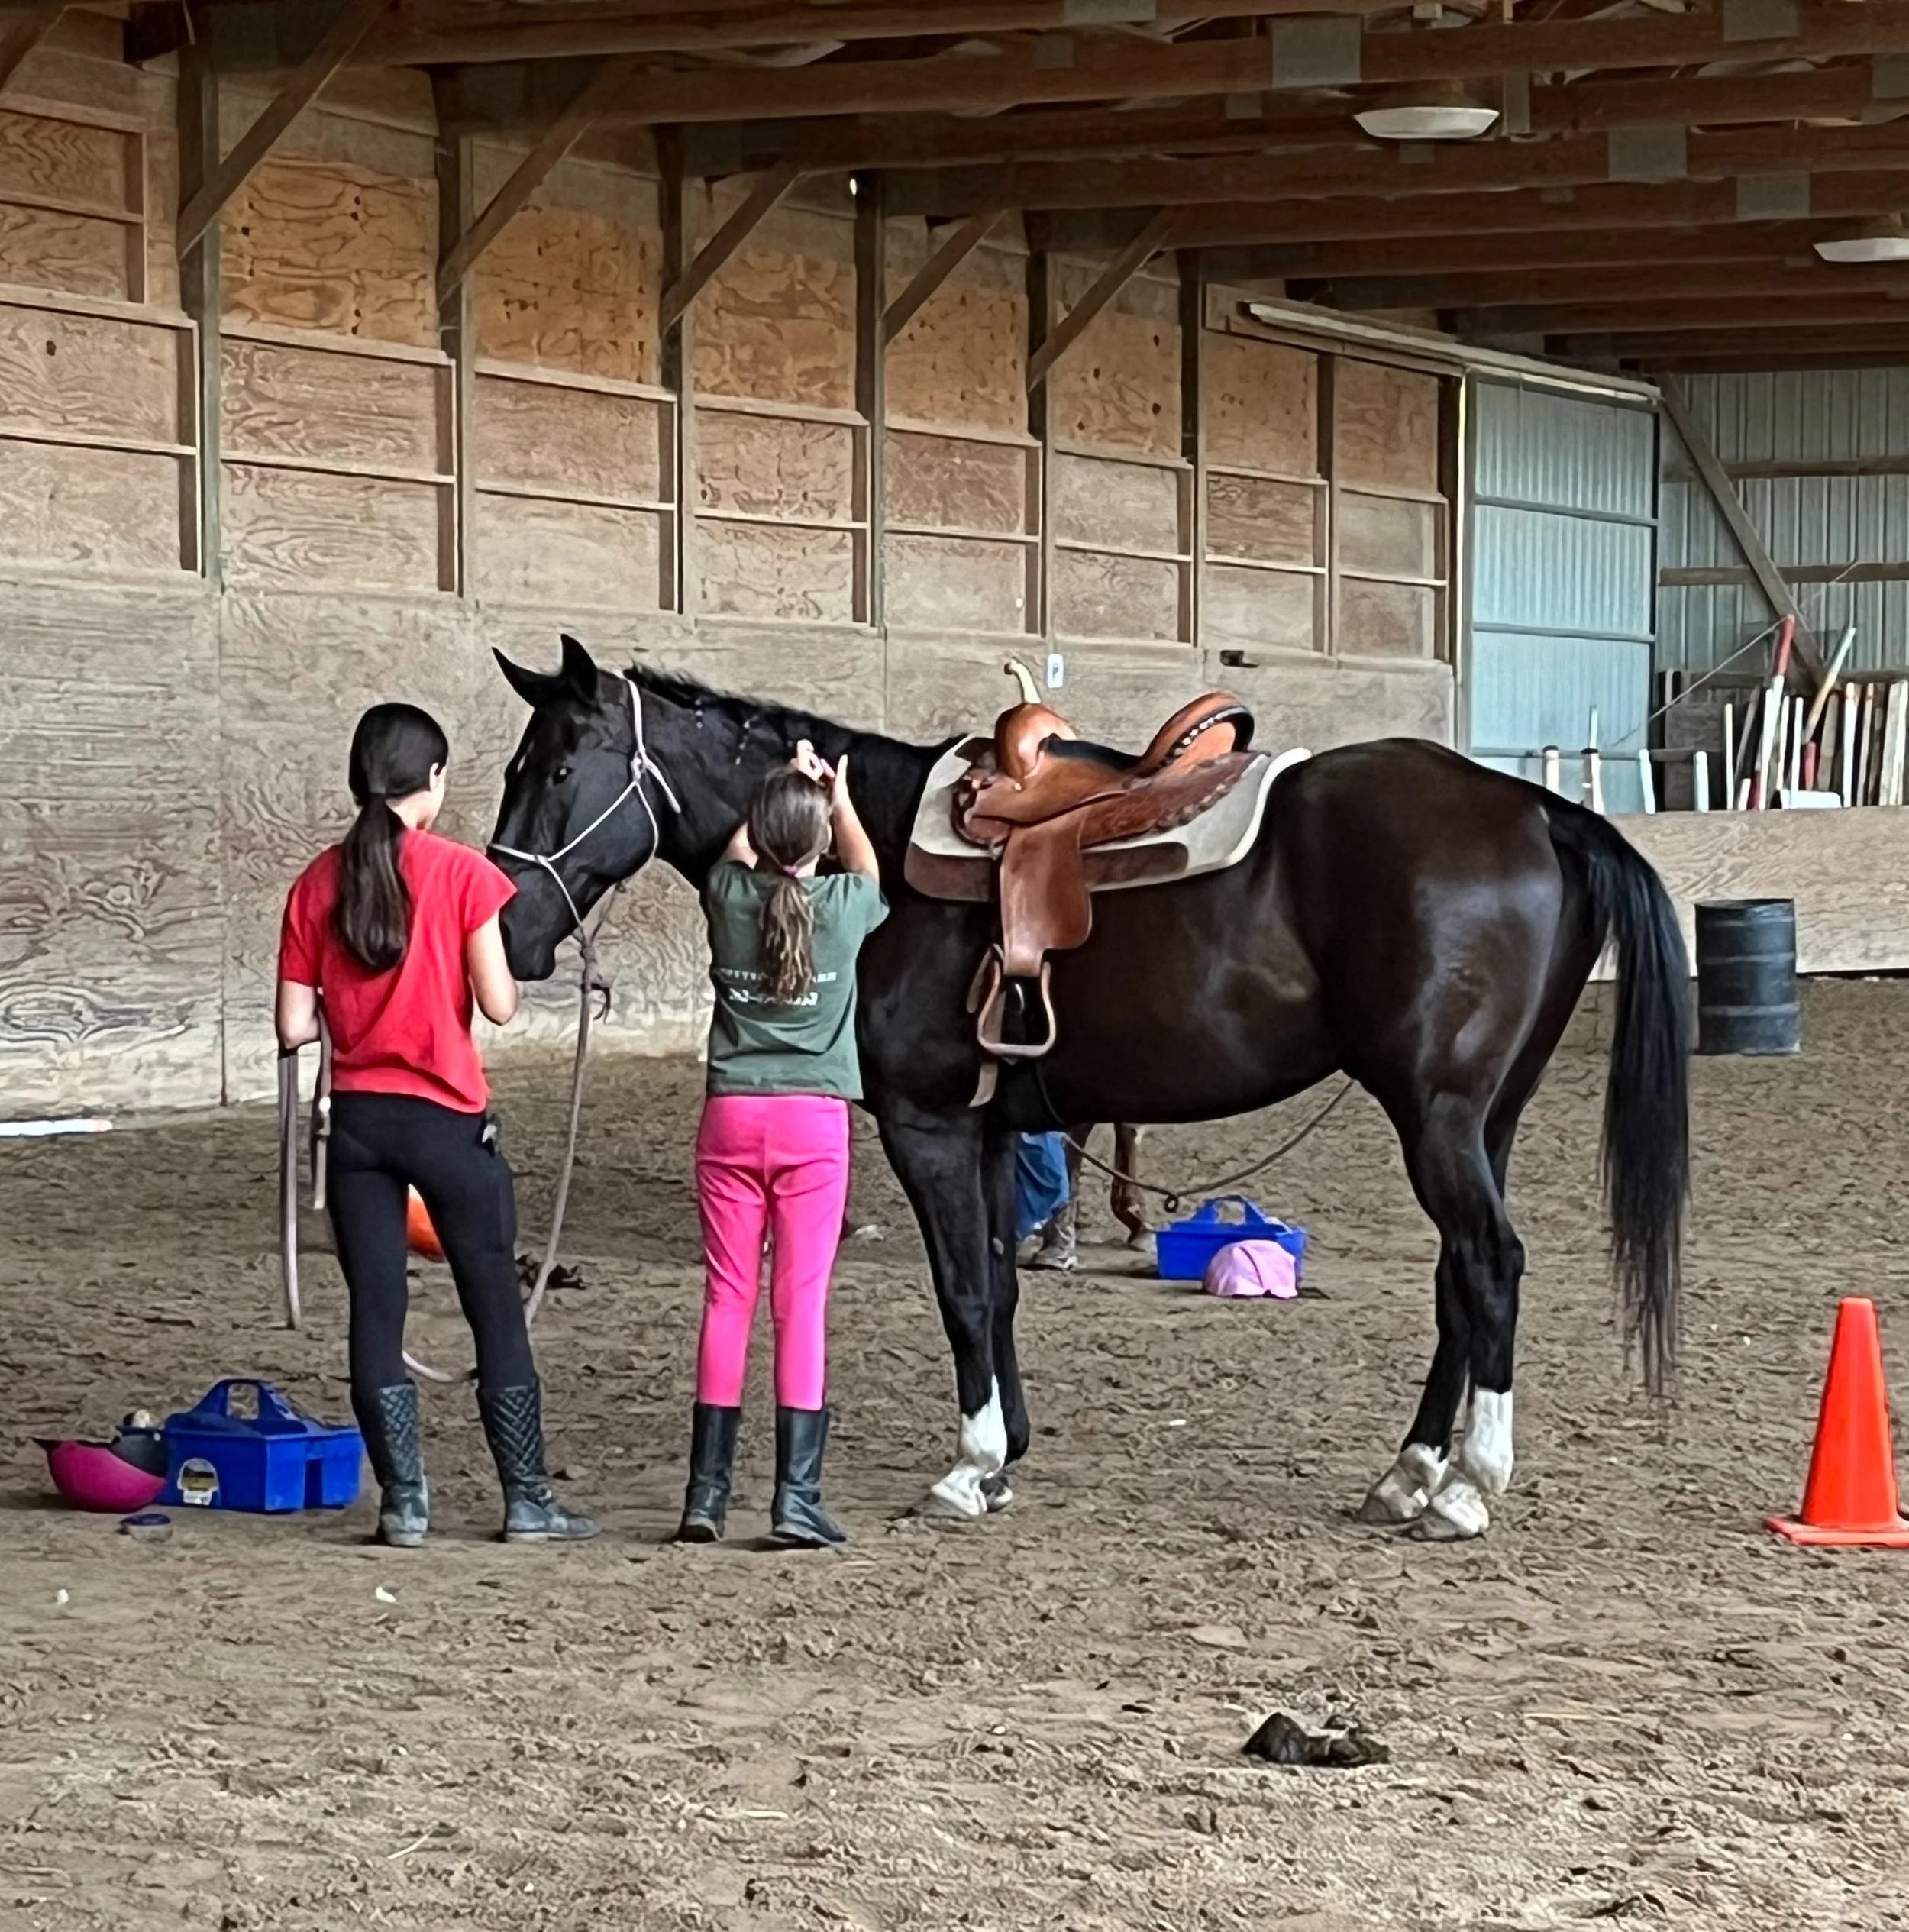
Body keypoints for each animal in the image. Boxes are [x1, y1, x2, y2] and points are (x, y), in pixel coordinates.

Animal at [487, 636, 1688, 1541]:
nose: (511, 928)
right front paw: (1004, 1451)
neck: (875, 854)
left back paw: (1467, 1488)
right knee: (1457, 1278)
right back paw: (1408, 1472)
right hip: (1485, 1119)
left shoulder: (928, 1127)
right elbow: (996, 1284)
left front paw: (969, 1465)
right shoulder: (985, 1130)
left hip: (1438, 1115)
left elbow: (963, 1290)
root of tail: (1538, 812)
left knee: (1490, 1264)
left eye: (556, 770)